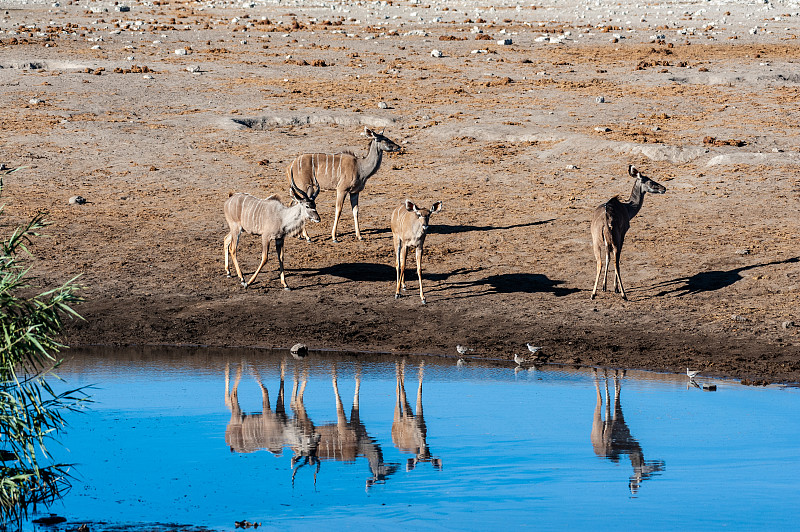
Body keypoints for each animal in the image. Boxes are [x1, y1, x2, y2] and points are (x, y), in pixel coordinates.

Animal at [592, 164, 664, 302]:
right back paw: (623, 294)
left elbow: (607, 258)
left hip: (597, 242)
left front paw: (604, 287)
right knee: (616, 263)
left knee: (600, 262)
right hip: (616, 240)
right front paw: (615, 288)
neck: (628, 208)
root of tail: (605, 220)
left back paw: (593, 294)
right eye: (650, 181)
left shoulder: (607, 243)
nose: (664, 188)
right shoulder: (623, 235)